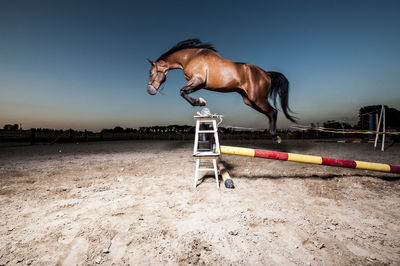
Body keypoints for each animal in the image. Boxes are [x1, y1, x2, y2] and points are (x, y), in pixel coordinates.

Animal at [145, 38, 296, 141]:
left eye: (151, 73)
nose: (149, 91)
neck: (190, 57)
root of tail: (266, 73)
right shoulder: (197, 83)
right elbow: (184, 92)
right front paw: (200, 101)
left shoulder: (198, 80)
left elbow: (182, 92)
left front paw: (200, 101)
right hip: (249, 100)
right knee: (270, 113)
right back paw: (273, 134)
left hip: (257, 98)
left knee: (273, 111)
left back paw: (276, 136)